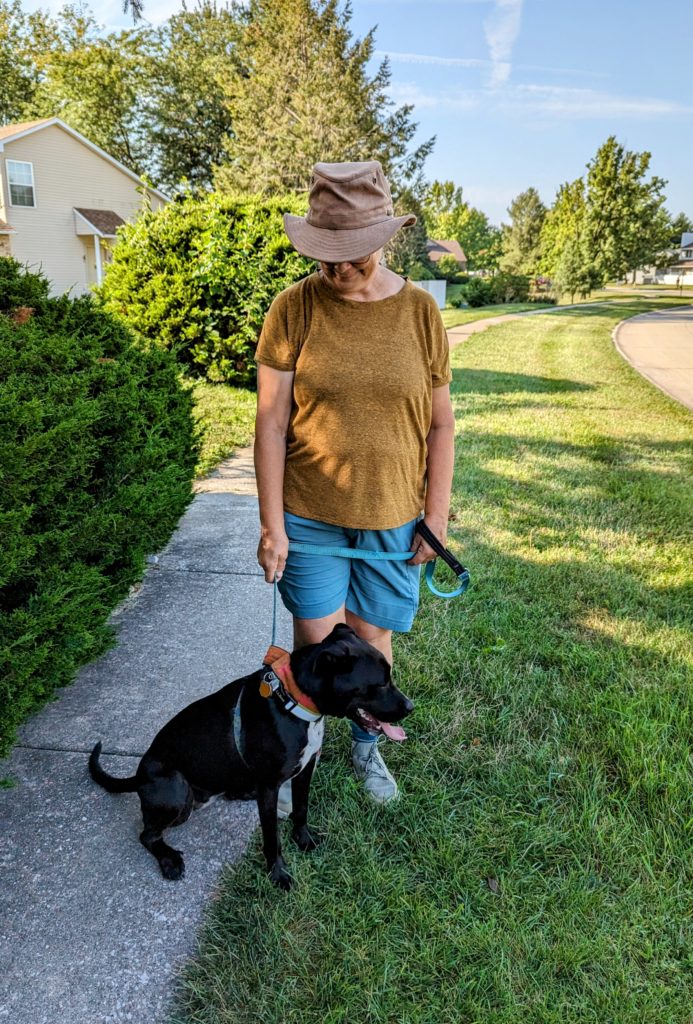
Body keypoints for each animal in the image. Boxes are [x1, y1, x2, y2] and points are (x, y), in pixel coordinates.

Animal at [86, 622, 411, 888]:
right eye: (380, 683)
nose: (410, 706)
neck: (294, 702)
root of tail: (138, 774)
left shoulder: (304, 771)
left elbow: (301, 809)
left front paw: (304, 841)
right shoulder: (269, 787)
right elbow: (272, 838)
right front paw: (278, 875)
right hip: (176, 789)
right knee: (148, 835)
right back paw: (169, 861)